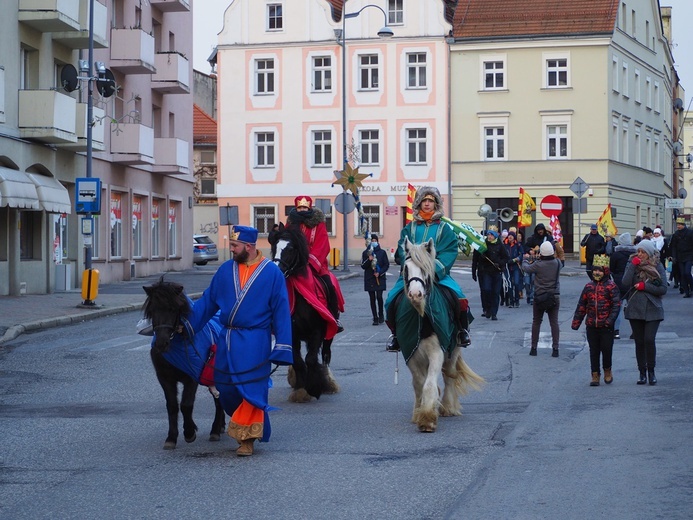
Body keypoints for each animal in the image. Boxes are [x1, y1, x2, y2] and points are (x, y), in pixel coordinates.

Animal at [141, 278, 224, 448]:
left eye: (173, 309)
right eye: (152, 310)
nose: (161, 344)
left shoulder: (192, 377)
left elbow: (186, 405)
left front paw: (189, 432)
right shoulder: (165, 378)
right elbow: (172, 405)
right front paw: (171, 438)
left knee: (219, 401)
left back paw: (215, 430)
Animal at [268, 224, 340, 402]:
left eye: (291, 249)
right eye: (275, 246)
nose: (277, 271)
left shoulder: (317, 331)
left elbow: (311, 359)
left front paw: (314, 387)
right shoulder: (292, 334)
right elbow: (298, 361)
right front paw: (301, 389)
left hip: (329, 332)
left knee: (325, 355)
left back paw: (327, 382)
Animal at [398, 238, 484, 432]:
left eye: (425, 268)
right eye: (406, 268)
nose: (416, 294)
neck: (422, 317)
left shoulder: (437, 352)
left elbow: (429, 384)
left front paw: (427, 418)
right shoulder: (410, 352)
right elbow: (419, 383)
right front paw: (420, 412)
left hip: (454, 350)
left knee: (449, 375)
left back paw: (448, 407)